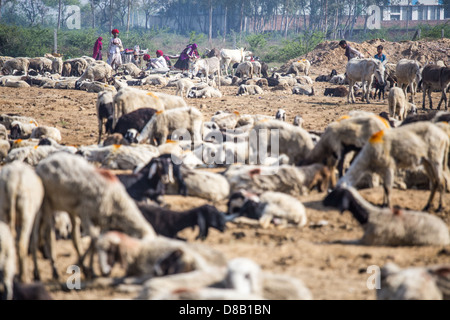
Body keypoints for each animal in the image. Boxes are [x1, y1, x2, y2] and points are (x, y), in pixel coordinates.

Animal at [32, 152, 157, 280]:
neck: (117, 200)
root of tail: (44, 162)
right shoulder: (85, 214)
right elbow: (96, 240)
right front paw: (95, 269)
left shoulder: (101, 220)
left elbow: (93, 243)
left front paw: (89, 270)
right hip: (47, 204)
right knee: (47, 235)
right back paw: (49, 272)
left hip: (69, 208)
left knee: (73, 236)